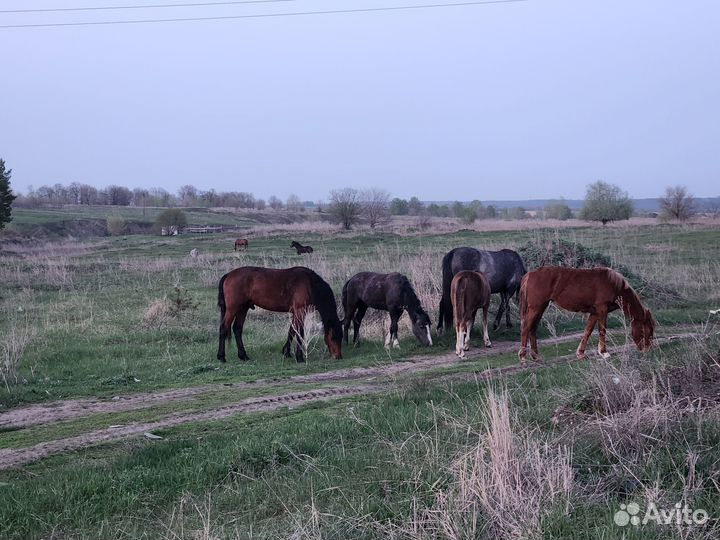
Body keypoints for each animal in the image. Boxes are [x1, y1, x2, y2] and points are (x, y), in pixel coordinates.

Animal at [518, 267, 655, 365]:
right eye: (644, 330)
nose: (647, 350)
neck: (614, 285)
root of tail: (530, 274)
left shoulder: (594, 313)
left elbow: (587, 331)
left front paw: (581, 353)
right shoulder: (602, 309)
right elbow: (602, 330)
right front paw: (604, 352)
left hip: (540, 308)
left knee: (533, 329)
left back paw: (536, 357)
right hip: (536, 308)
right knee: (526, 328)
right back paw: (523, 357)